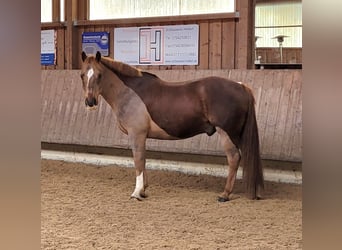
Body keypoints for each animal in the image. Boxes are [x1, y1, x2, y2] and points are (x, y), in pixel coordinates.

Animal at [80, 51, 264, 202]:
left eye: (99, 75)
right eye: (82, 75)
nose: (90, 102)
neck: (129, 93)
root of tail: (241, 86)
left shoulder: (136, 134)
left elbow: (138, 160)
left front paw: (136, 192)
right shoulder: (142, 136)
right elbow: (143, 160)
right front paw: (143, 190)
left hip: (227, 133)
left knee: (234, 158)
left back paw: (225, 194)